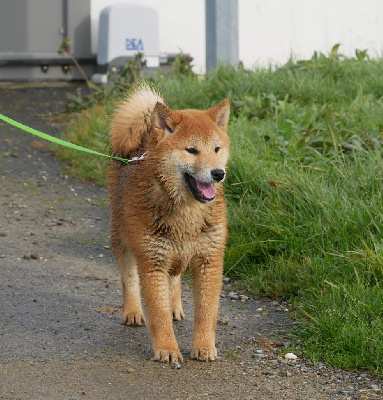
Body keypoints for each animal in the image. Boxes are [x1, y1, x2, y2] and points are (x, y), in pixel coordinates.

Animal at [108, 83, 231, 368]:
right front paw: (167, 349)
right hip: (123, 239)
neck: (187, 213)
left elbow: (206, 313)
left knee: (174, 279)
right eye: (192, 150)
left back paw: (175, 306)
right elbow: (158, 314)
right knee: (129, 279)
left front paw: (204, 346)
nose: (218, 173)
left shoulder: (209, 261)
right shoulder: (152, 263)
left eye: (217, 149)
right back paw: (133, 311)